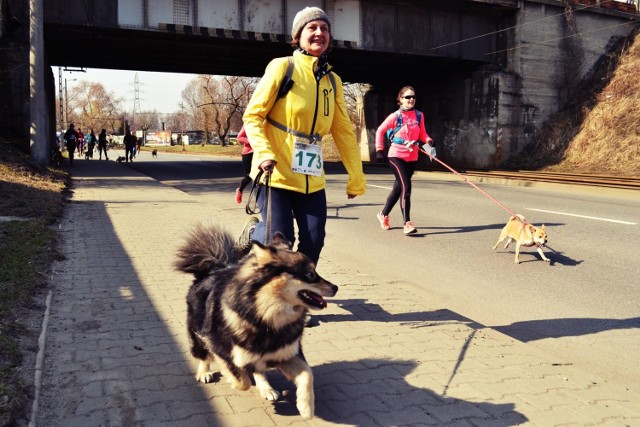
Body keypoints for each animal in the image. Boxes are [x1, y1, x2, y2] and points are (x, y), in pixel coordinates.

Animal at [172, 224, 338, 422]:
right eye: (310, 274)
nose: (336, 288)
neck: (267, 317)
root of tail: (212, 269)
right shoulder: (221, 349)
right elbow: (241, 379)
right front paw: (233, 379)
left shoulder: (288, 353)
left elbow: (307, 374)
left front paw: (306, 407)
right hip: (197, 335)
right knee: (204, 355)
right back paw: (204, 372)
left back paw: (266, 388)